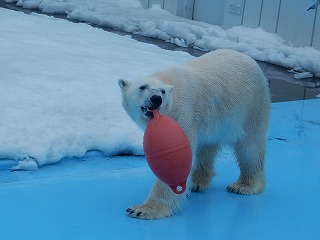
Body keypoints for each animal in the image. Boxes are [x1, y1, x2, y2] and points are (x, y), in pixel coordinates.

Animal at [117, 48, 270, 219]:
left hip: (252, 107)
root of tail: (250, 60)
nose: (156, 99)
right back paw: (196, 182)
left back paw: (243, 185)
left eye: (162, 92)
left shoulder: (183, 114)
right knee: (206, 147)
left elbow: (174, 160)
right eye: (142, 87)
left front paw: (142, 209)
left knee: (250, 147)